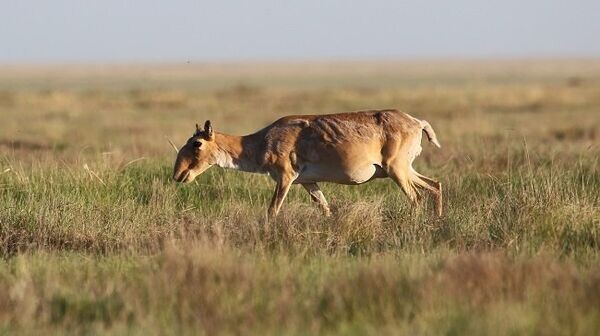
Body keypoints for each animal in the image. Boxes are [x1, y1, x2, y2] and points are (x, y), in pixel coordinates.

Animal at [171, 109, 442, 218]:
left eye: (196, 143)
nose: (178, 174)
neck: (261, 141)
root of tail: (418, 122)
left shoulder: (285, 177)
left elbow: (272, 209)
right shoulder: (308, 182)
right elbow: (325, 208)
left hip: (397, 169)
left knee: (416, 197)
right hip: (403, 169)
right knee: (435, 186)